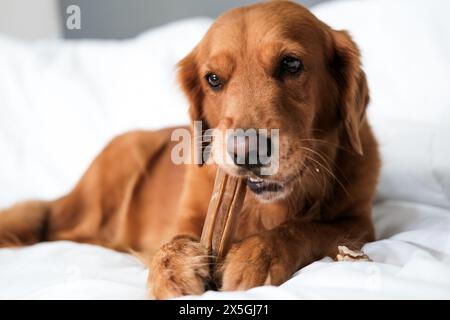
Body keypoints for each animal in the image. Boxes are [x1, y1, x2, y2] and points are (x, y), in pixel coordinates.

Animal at [0, 0, 380, 300]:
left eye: (291, 64)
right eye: (213, 79)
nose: (247, 151)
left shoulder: (358, 223)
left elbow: (305, 229)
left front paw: (257, 255)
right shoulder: (186, 220)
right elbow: (171, 243)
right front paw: (171, 272)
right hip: (123, 157)